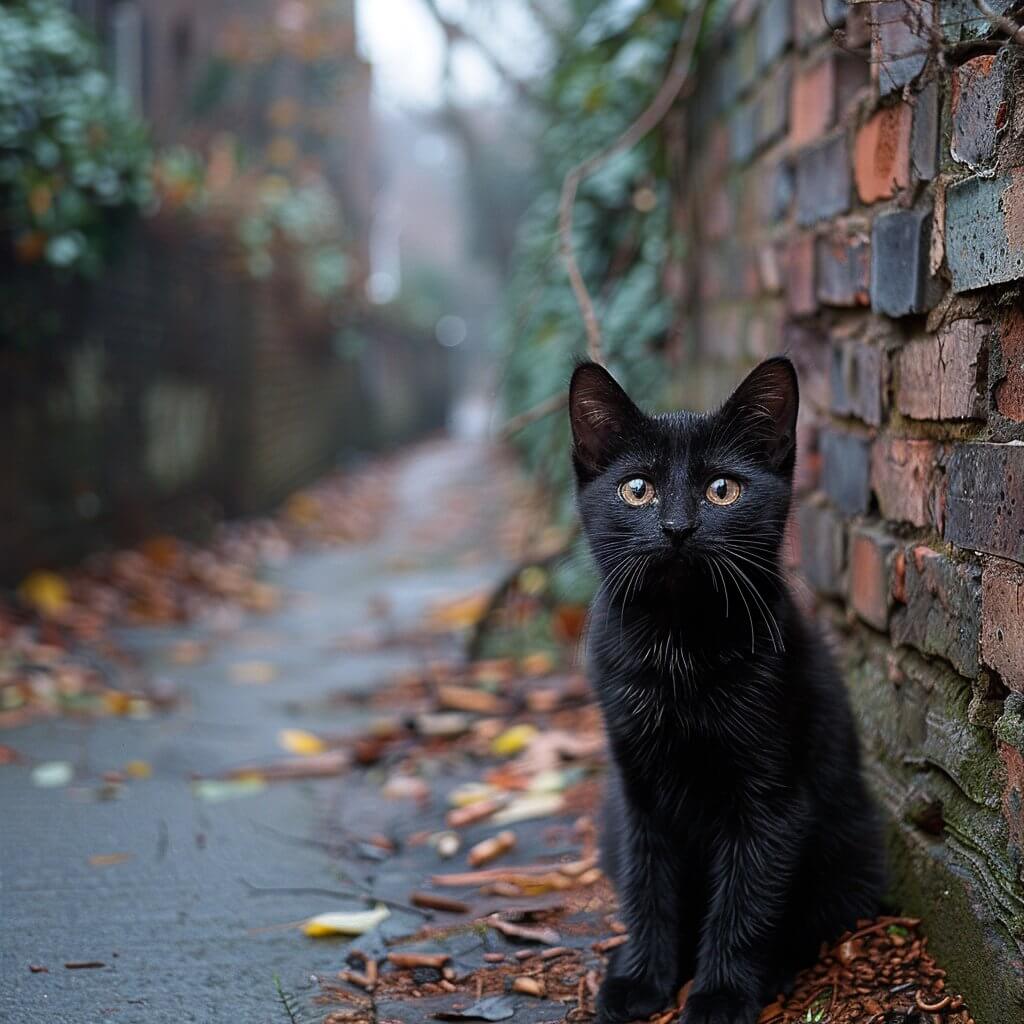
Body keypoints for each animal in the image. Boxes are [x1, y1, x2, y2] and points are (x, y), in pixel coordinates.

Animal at [573, 358, 884, 1024]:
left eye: (722, 490)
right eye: (637, 489)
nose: (677, 528)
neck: (679, 647)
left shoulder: (771, 799)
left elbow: (746, 902)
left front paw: (721, 996)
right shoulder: (636, 793)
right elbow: (647, 884)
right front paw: (640, 980)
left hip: (852, 848)